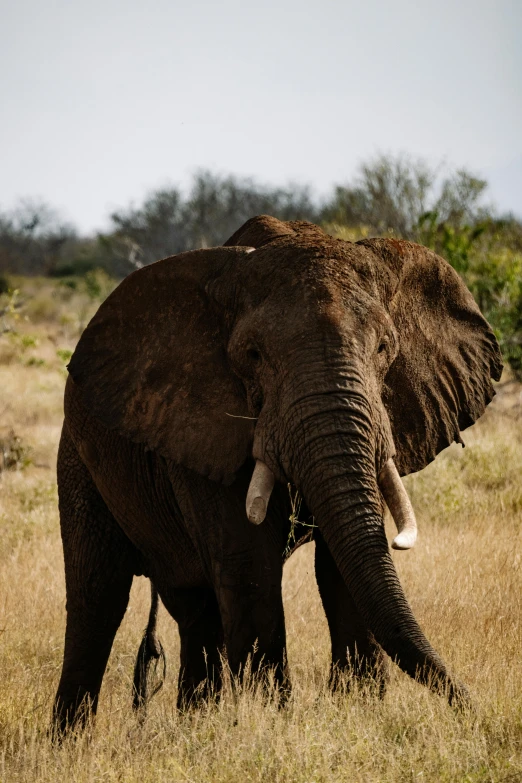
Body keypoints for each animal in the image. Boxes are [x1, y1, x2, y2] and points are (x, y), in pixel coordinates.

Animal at [52, 214, 500, 736]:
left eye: (385, 347)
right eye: (252, 355)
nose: (474, 710)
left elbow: (341, 568)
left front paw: (358, 710)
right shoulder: (199, 426)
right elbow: (250, 566)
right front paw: (271, 721)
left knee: (195, 610)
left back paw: (196, 726)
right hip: (77, 455)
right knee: (97, 597)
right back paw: (69, 742)